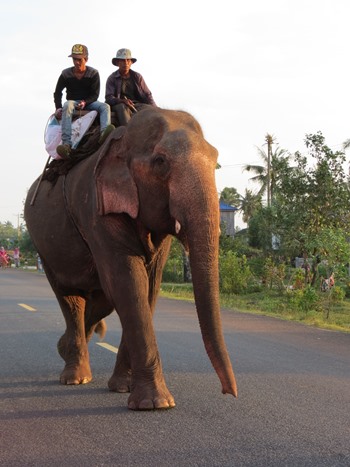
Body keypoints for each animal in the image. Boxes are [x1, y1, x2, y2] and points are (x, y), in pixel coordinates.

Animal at [24, 108, 238, 412]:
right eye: (160, 162)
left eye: (215, 159)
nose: (229, 392)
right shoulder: (96, 208)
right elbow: (129, 283)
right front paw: (156, 403)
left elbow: (148, 287)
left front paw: (123, 388)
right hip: (44, 246)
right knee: (71, 297)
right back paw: (75, 376)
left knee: (101, 300)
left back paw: (67, 349)